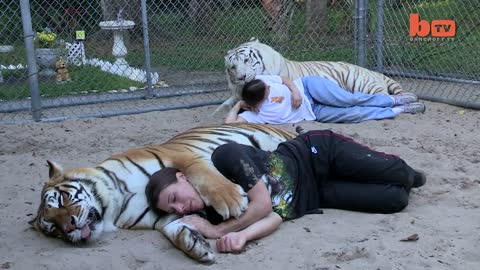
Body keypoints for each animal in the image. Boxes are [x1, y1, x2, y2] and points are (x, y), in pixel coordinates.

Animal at [216, 38, 404, 114]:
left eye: (246, 60)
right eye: (232, 67)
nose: (241, 77)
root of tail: (373, 71)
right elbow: (227, 103)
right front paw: (219, 111)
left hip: (360, 81)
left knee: (383, 96)